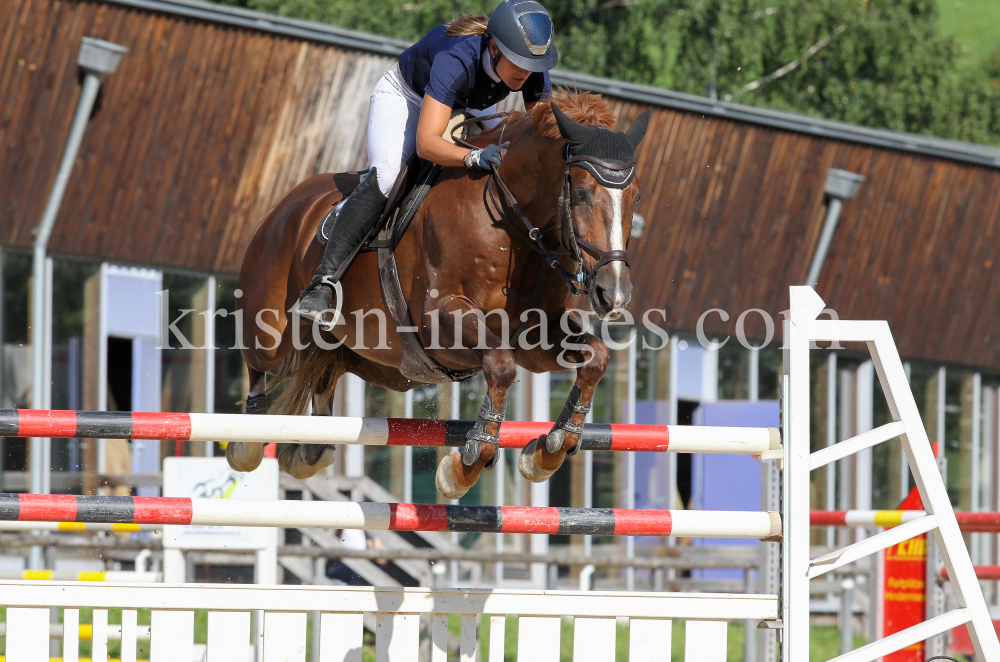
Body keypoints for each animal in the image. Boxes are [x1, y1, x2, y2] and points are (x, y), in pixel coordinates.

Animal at [226, 91, 648, 500]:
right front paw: (466, 465)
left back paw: (309, 451)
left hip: (372, 360)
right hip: (273, 324)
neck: (510, 225)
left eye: (636, 198)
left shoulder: (535, 338)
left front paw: (550, 449)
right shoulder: (440, 320)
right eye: (581, 194)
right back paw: (247, 442)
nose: (613, 294)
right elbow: (500, 365)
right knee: (258, 360)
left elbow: (596, 357)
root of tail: (289, 204)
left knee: (326, 379)